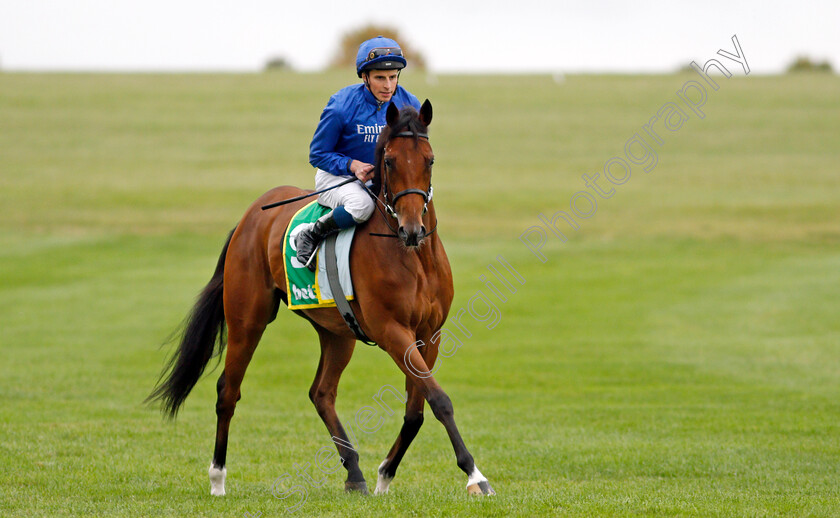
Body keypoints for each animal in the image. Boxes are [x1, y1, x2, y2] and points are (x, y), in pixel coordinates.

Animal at [148, 101, 496, 500]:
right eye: (389, 161)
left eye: (430, 159)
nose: (412, 229)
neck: (411, 256)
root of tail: (251, 214)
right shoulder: (393, 331)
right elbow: (439, 400)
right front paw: (474, 475)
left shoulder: (429, 334)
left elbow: (416, 411)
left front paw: (385, 473)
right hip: (247, 320)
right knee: (228, 391)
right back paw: (218, 477)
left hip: (337, 332)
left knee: (321, 393)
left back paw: (355, 472)